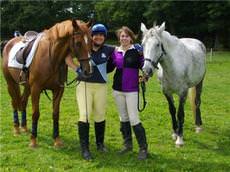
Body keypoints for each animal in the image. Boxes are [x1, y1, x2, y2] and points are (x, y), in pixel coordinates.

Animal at [1, 19, 92, 147]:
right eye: (78, 43)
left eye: (91, 42)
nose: (87, 71)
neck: (52, 58)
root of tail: (9, 43)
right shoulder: (36, 89)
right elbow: (35, 113)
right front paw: (33, 140)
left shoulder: (58, 90)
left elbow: (55, 114)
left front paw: (57, 140)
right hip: (11, 84)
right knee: (14, 103)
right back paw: (17, 129)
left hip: (27, 87)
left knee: (23, 102)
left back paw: (24, 127)